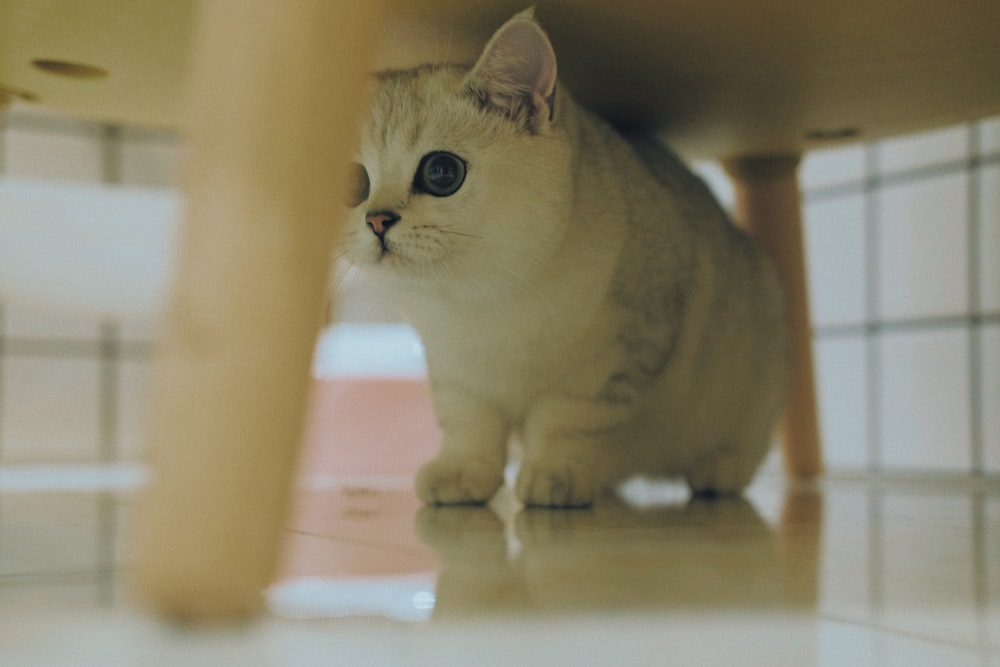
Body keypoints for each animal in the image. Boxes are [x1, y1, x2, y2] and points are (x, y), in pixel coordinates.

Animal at [344, 9, 788, 506]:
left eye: (441, 172)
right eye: (352, 184)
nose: (377, 220)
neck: (481, 303)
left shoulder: (614, 357)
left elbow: (565, 422)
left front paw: (555, 473)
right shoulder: (453, 371)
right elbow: (469, 423)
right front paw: (463, 470)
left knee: (743, 448)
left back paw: (717, 470)